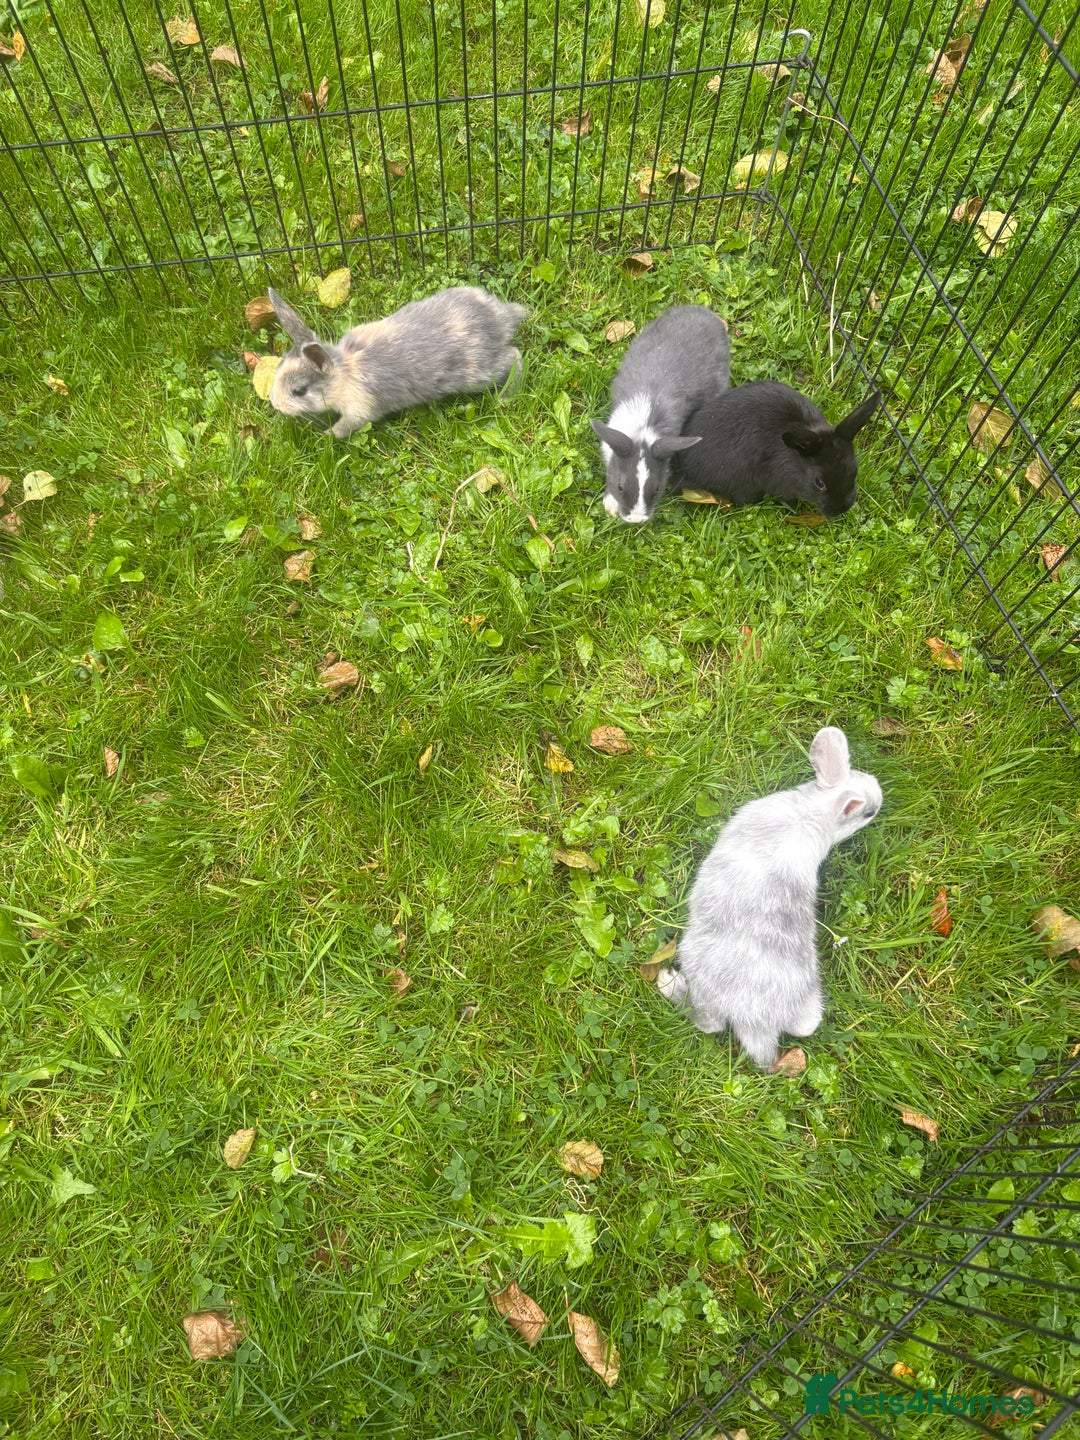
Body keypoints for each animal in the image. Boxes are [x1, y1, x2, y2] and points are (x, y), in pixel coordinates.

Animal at [266, 286, 528, 438]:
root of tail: (501, 319)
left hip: (478, 372)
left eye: (299, 391)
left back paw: (506, 396)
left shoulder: (359, 411)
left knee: (514, 356)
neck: (344, 372)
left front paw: (326, 435)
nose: (275, 404)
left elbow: (343, 428)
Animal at [590, 304, 731, 524]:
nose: (636, 519)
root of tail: (705, 313)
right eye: (620, 487)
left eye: (656, 489)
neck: (642, 429)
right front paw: (610, 506)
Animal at [657, 727, 882, 1071]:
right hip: (808, 1006)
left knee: (708, 1022)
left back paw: (668, 982)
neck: (812, 815)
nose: (880, 801)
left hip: (699, 971)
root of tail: (757, 1026)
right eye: (868, 811)